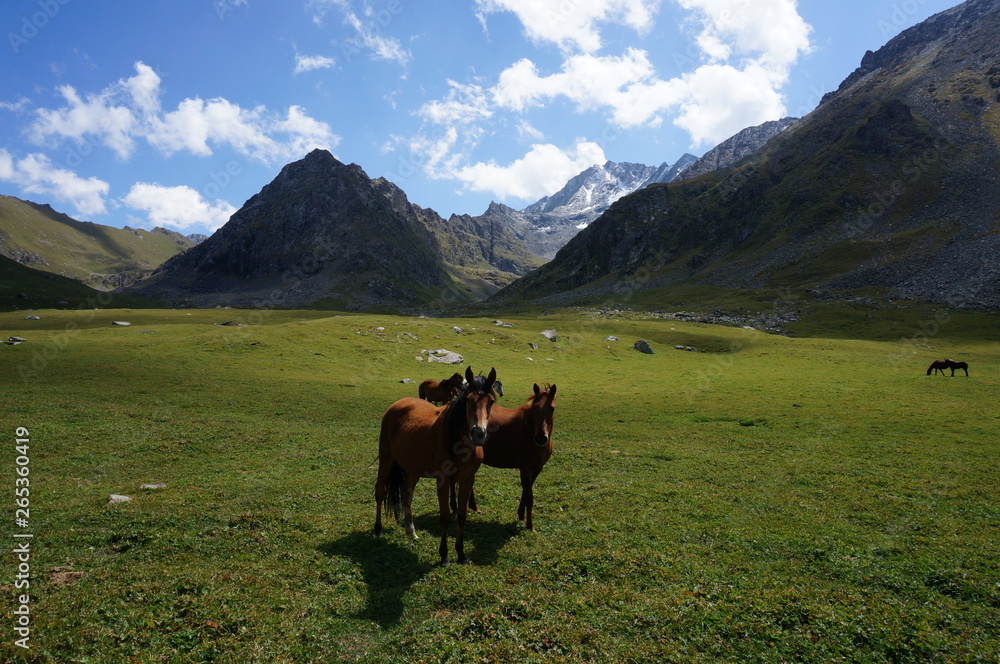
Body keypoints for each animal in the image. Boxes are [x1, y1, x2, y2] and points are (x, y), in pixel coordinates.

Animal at [375, 366, 497, 566]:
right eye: (467, 400)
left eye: (491, 401)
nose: (478, 433)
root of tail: (397, 405)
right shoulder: (443, 481)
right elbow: (445, 516)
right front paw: (444, 556)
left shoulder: (467, 480)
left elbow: (461, 516)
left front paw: (461, 554)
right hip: (386, 459)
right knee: (380, 491)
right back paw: (377, 529)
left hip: (413, 469)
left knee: (407, 493)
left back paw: (411, 530)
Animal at [452, 383, 557, 531]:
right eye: (535, 407)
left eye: (552, 408)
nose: (541, 438)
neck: (529, 430)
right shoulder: (525, 469)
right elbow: (529, 497)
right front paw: (530, 525)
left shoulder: (537, 469)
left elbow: (526, 492)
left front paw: (520, 514)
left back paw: (473, 507)